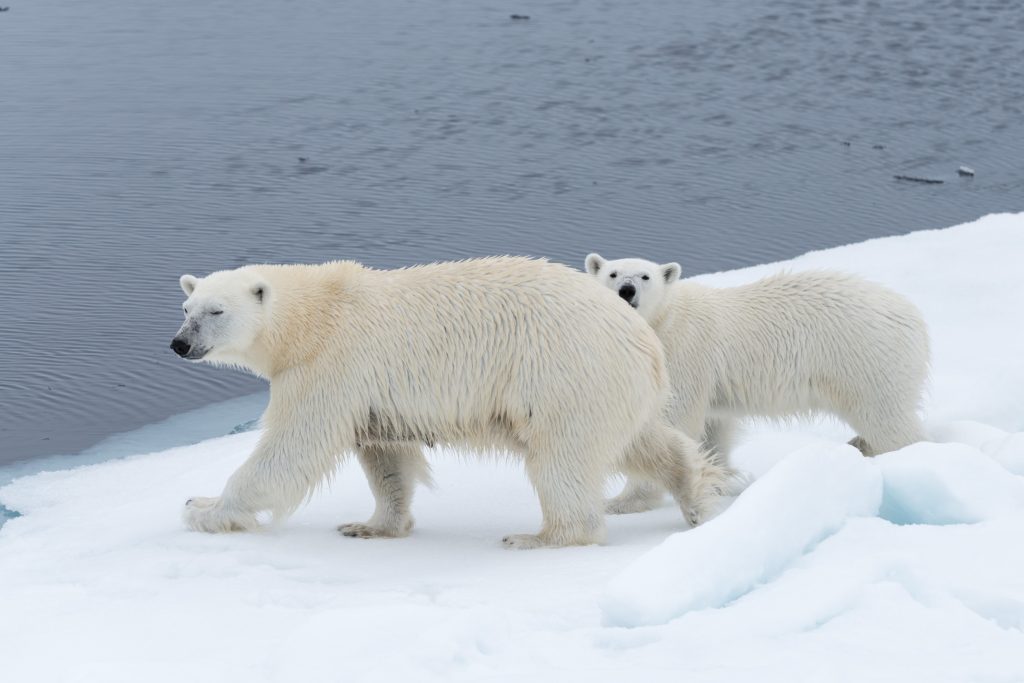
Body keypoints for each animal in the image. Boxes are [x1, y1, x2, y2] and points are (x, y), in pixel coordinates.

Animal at [171, 257, 729, 548]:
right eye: (186, 307)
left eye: (216, 311)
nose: (179, 343)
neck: (314, 316)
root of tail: (644, 340)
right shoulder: (372, 393)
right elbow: (386, 459)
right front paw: (371, 525)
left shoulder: (330, 366)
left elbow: (291, 446)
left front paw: (204, 508)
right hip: (612, 386)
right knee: (643, 443)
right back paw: (699, 494)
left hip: (564, 375)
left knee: (561, 459)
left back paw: (541, 536)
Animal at [584, 253, 930, 514]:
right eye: (613, 273)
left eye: (645, 276)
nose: (626, 290)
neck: (662, 321)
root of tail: (913, 316)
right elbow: (715, 428)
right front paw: (723, 478)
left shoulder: (683, 352)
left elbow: (670, 422)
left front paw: (621, 502)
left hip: (866, 359)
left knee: (886, 418)